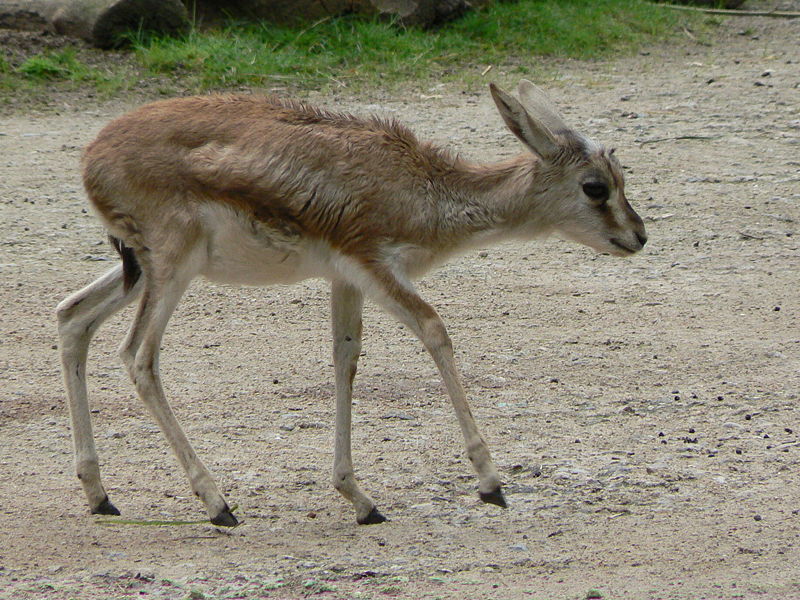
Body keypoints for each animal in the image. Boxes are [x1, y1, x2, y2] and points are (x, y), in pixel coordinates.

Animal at [56, 82, 644, 528]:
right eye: (595, 187)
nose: (638, 236)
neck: (421, 190)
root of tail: (92, 155)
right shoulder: (374, 266)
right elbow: (435, 330)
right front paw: (490, 483)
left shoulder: (345, 279)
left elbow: (345, 358)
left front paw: (359, 499)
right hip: (173, 267)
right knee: (138, 357)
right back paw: (218, 503)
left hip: (143, 271)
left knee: (71, 316)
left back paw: (100, 495)